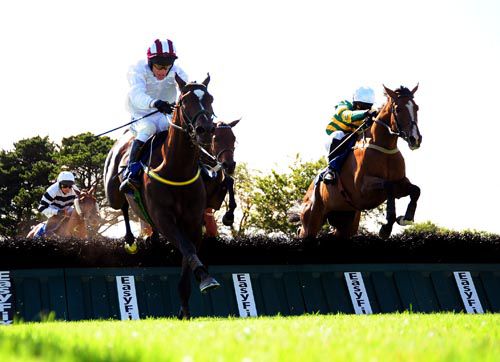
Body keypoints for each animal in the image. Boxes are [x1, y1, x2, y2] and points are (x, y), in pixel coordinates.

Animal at [104, 73, 220, 320]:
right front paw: (205, 278)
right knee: (123, 206)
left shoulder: (192, 222)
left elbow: (188, 252)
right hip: (112, 194)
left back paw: (150, 238)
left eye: (210, 98)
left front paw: (185, 308)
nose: (205, 130)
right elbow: (187, 248)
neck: (176, 169)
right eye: (184, 101)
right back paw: (130, 240)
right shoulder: (165, 219)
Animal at [300, 85, 422, 240]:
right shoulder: (362, 190)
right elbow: (388, 185)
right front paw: (386, 227)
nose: (415, 139)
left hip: (346, 224)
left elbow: (416, 190)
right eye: (398, 109)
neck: (384, 148)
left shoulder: (400, 183)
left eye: (417, 107)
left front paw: (406, 218)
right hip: (310, 224)